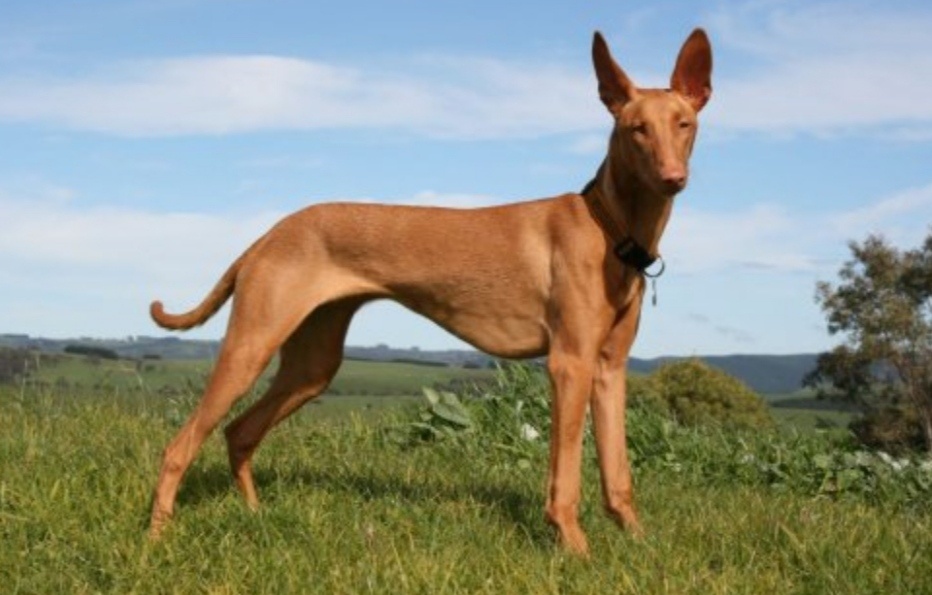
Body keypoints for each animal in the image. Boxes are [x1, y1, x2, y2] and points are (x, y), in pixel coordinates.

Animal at [149, 29, 708, 560]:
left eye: (684, 124)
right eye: (636, 128)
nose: (673, 178)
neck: (608, 226)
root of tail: (268, 235)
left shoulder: (610, 368)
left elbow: (619, 474)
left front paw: (639, 543)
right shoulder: (569, 363)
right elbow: (564, 479)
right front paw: (575, 548)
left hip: (311, 365)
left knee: (239, 432)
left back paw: (254, 516)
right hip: (250, 348)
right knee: (178, 446)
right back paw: (157, 537)